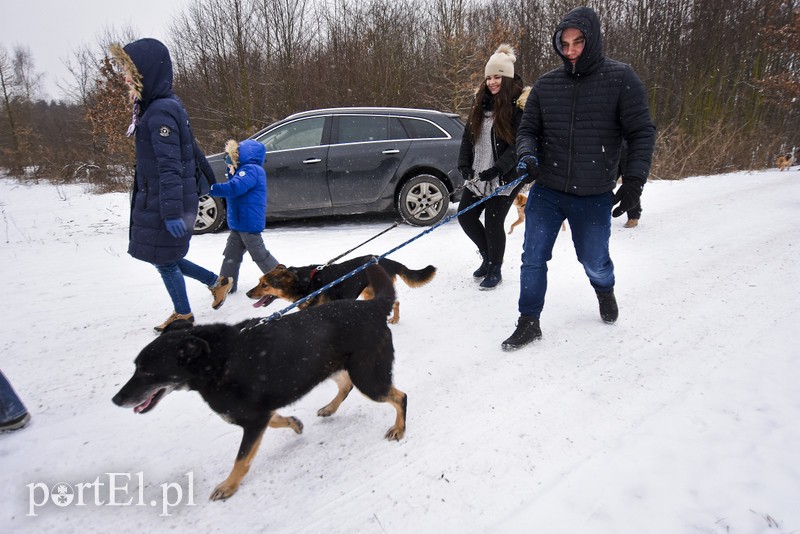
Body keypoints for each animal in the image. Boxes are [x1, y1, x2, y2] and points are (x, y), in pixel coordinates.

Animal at [112, 264, 406, 502]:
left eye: (148, 371)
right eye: (136, 367)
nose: (116, 400)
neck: (218, 358)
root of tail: (372, 307)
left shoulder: (252, 419)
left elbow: (242, 459)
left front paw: (228, 486)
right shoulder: (258, 412)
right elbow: (275, 420)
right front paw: (294, 423)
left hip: (368, 376)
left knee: (399, 396)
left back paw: (399, 428)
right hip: (333, 366)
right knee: (346, 386)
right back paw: (330, 408)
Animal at [247, 255, 434, 326]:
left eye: (264, 285)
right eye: (259, 281)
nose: (248, 294)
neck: (303, 283)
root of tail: (387, 260)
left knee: (396, 302)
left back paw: (394, 319)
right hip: (368, 292)